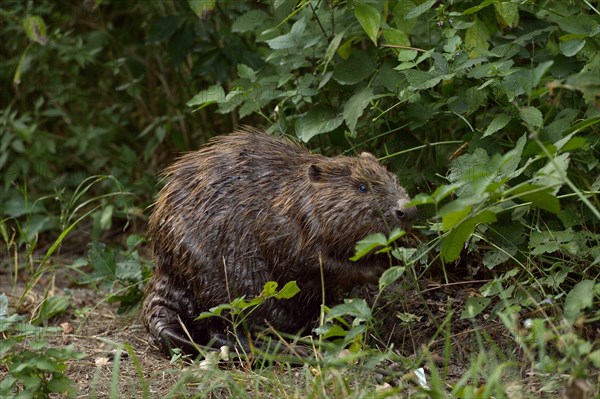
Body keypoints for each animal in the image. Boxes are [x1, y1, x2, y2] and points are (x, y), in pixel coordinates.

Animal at [143, 128, 418, 356]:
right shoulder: (284, 230)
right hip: (218, 282)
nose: (407, 211)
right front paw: (377, 268)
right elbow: (313, 263)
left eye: (393, 178)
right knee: (224, 328)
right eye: (362, 187)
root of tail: (164, 273)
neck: (289, 196)